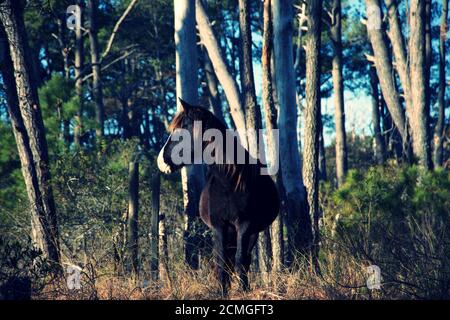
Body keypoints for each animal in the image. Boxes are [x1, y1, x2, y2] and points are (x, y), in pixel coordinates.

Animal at [156, 98, 280, 296]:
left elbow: (240, 260)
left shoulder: (244, 225)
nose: (161, 161)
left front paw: (243, 290)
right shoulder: (219, 226)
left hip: (251, 233)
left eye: (179, 131)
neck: (229, 182)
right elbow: (222, 262)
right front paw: (223, 291)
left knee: (244, 259)